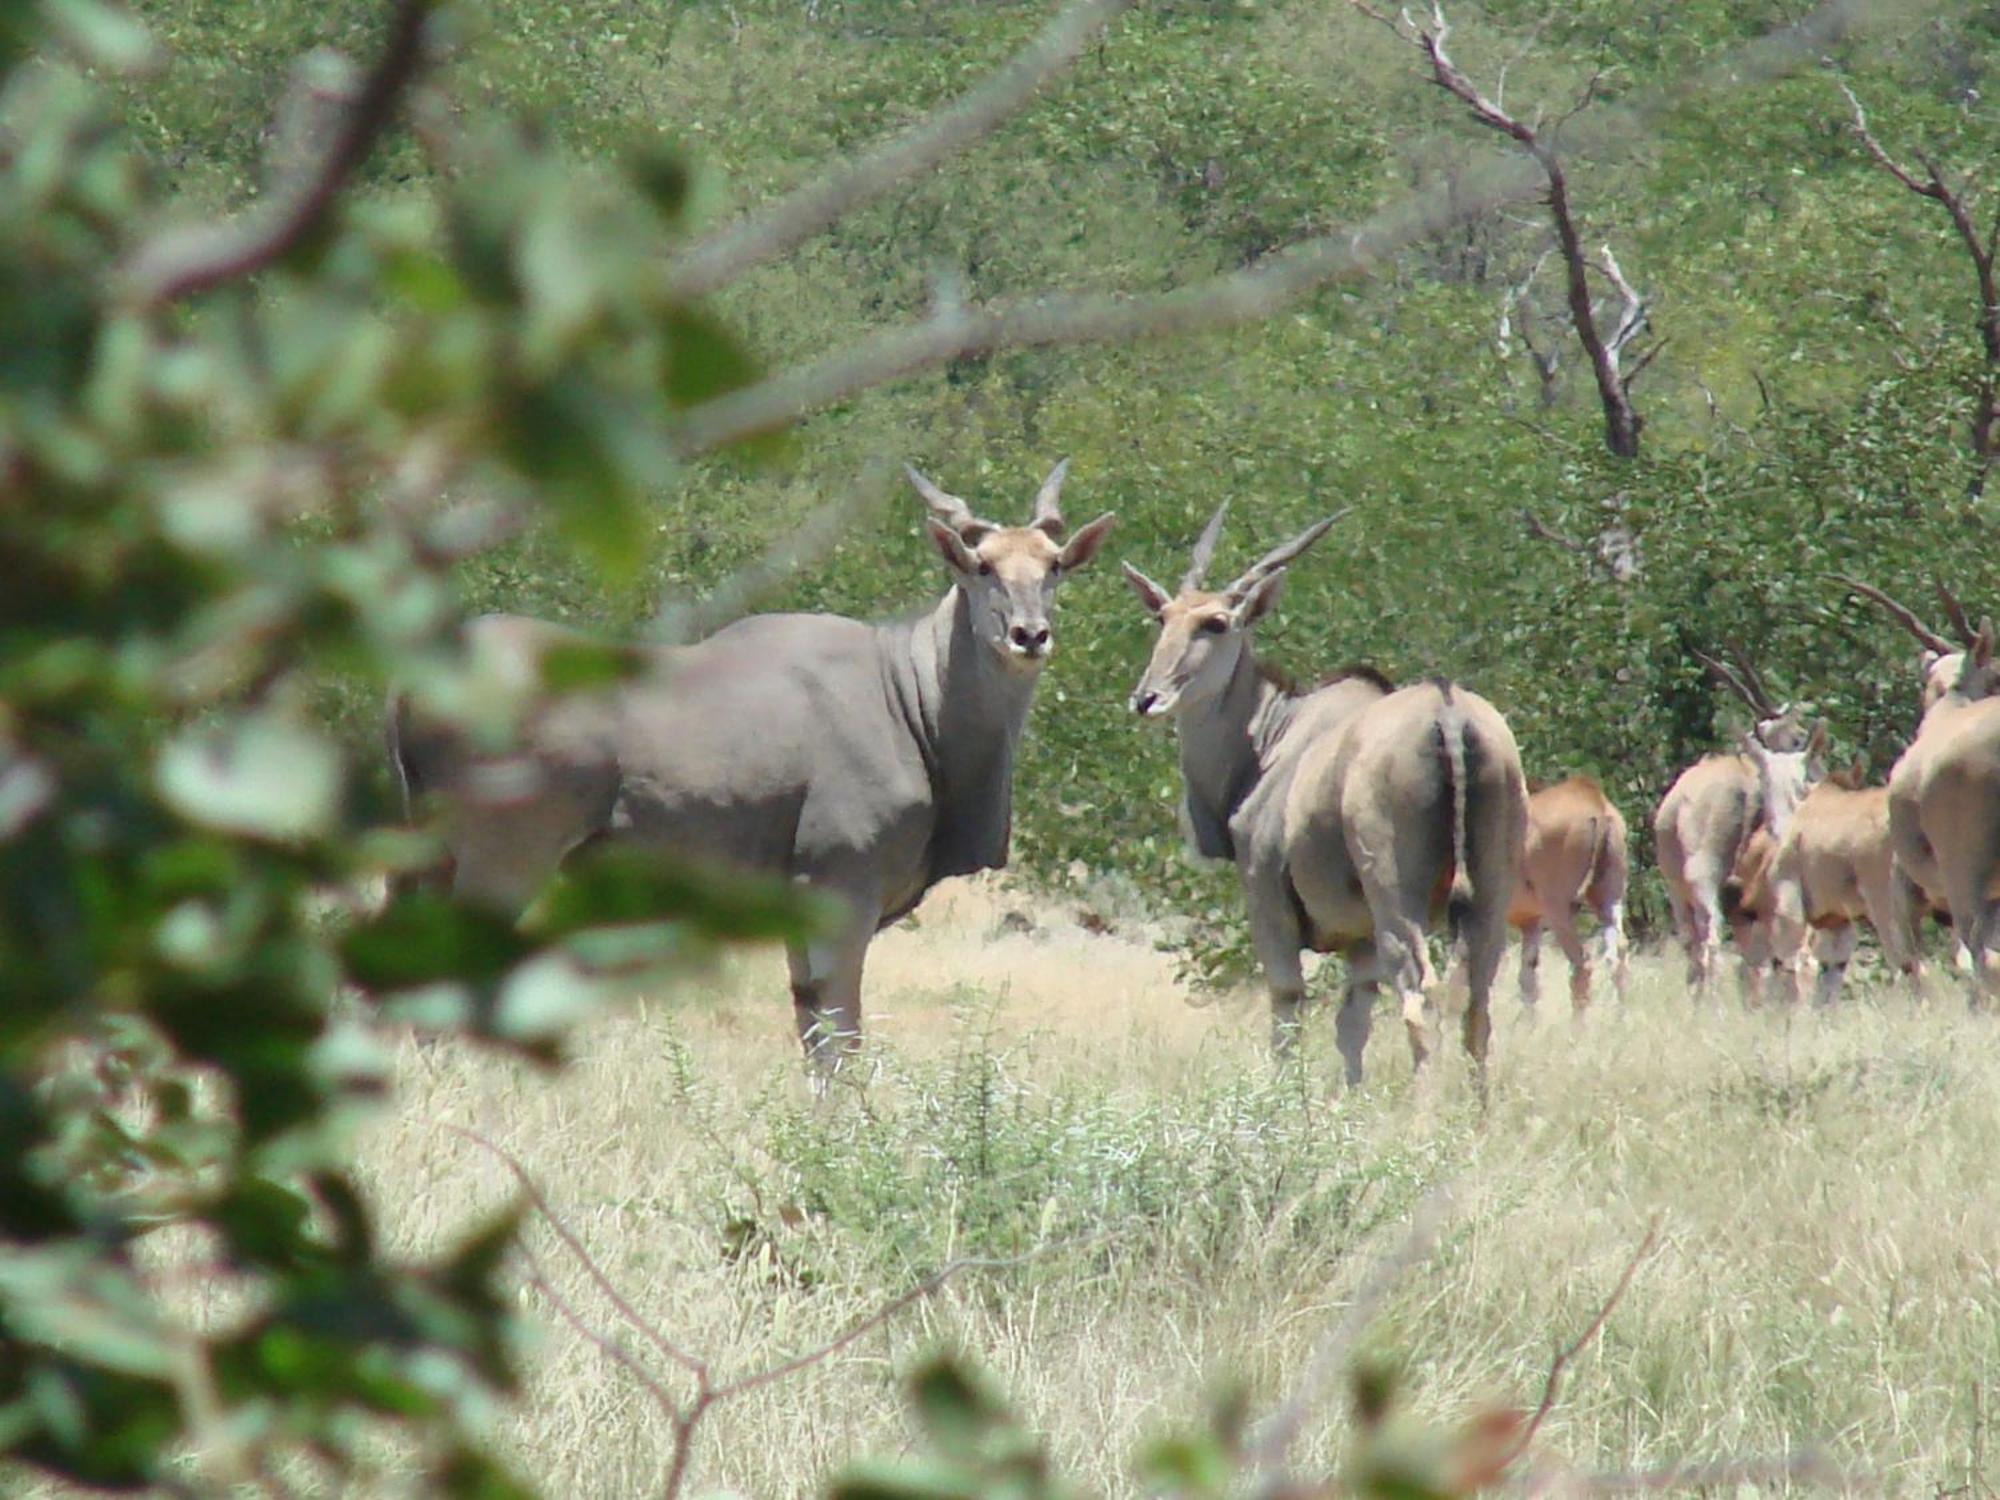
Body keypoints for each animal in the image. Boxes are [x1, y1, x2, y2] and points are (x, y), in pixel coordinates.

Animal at [1120, 512, 1520, 1088]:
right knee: (1477, 1001)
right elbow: (1353, 1022)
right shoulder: (1360, 941)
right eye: (1163, 618)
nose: (1146, 698)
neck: (1273, 737)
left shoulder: (1268, 901)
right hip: (1488, 892)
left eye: (1215, 624)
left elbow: (1288, 1006)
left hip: (1397, 896)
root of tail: (1447, 711)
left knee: (1422, 994)